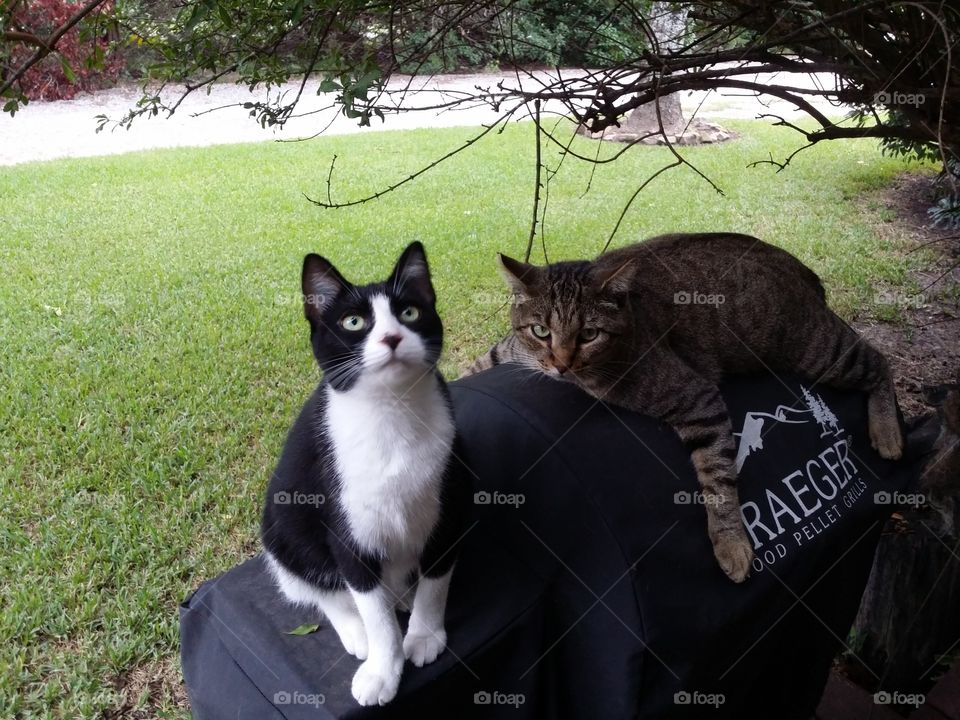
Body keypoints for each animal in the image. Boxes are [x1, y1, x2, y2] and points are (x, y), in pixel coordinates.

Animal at [260, 242, 470, 704]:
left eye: (409, 312)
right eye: (353, 322)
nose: (392, 337)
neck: (391, 413)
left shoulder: (449, 503)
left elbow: (437, 580)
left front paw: (425, 635)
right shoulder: (345, 526)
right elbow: (371, 608)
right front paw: (382, 668)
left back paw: (405, 596)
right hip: (283, 530)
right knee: (318, 586)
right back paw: (355, 629)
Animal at [468, 233, 904, 584]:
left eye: (589, 334)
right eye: (541, 330)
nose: (560, 364)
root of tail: (795, 263)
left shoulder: (699, 397)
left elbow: (718, 480)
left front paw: (730, 542)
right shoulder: (508, 350)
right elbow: (477, 365)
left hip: (818, 352)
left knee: (879, 361)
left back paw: (888, 433)